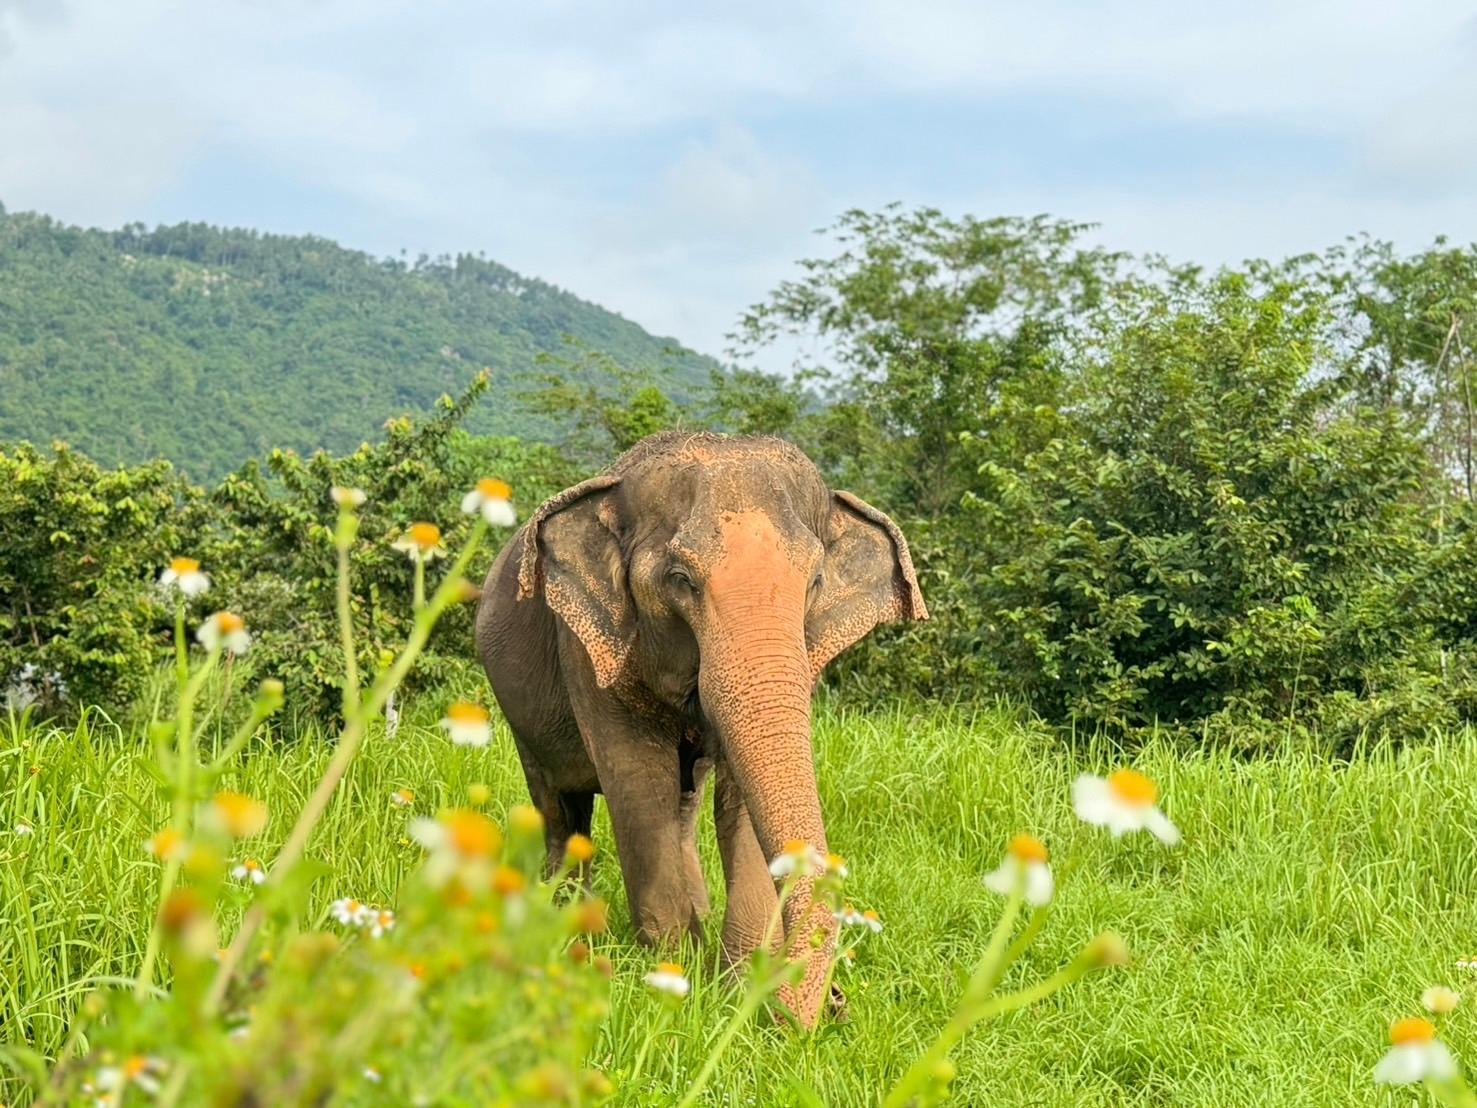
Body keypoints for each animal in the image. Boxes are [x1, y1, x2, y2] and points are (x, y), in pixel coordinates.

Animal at [474, 431, 927, 1026]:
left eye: (815, 582)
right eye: (680, 580)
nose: (836, 1002)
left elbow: (739, 795)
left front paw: (736, 987)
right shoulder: (587, 645)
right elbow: (639, 782)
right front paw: (673, 976)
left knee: (681, 805)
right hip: (517, 710)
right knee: (560, 804)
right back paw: (563, 912)